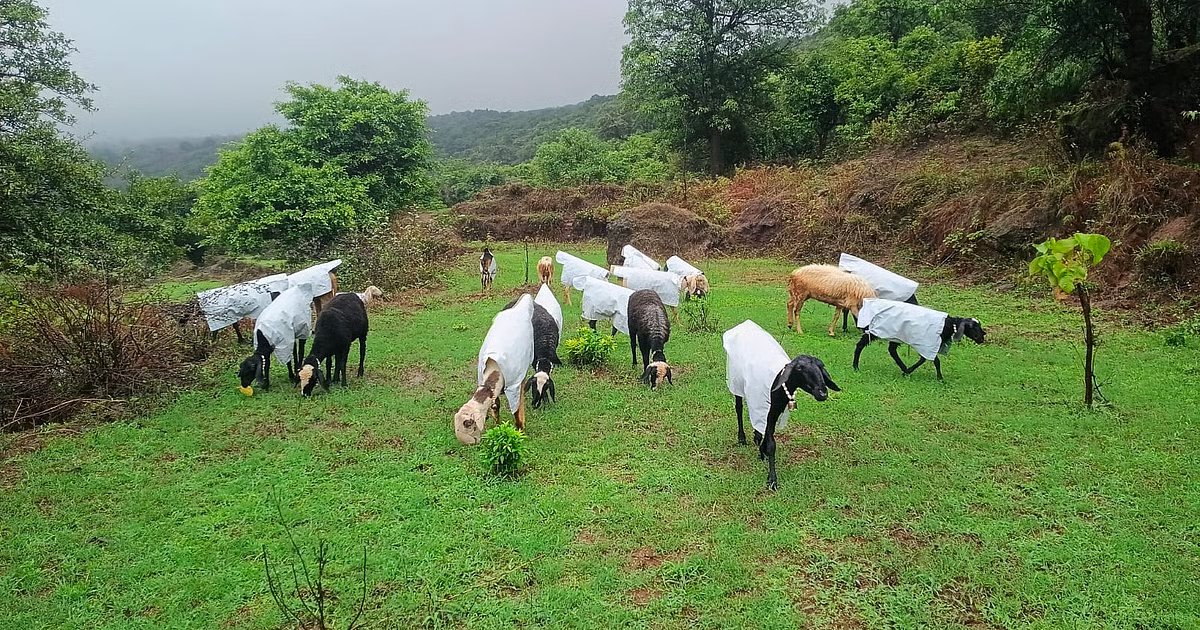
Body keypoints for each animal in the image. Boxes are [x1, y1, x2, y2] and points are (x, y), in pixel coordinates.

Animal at [454, 294, 535, 444]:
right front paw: (498, 426)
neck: (495, 369)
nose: (471, 443)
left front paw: (520, 431)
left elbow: (516, 411)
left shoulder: (514, 386)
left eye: (469, 424)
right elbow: (496, 405)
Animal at [724, 320, 840, 490]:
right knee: (739, 408)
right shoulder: (767, 409)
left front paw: (762, 451)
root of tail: (745, 324)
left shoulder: (775, 411)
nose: (822, 393)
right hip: (736, 381)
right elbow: (772, 443)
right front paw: (772, 479)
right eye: (799, 368)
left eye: (821, 367)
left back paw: (756, 436)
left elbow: (768, 434)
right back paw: (742, 438)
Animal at [852, 298, 986, 380]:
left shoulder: (927, 344)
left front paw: (908, 371)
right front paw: (940, 378)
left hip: (896, 334)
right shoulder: (928, 343)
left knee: (892, 350)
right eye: (973, 327)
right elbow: (935, 361)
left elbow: (924, 359)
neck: (948, 325)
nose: (982, 338)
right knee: (860, 345)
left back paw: (904, 368)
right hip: (875, 330)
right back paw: (855, 367)